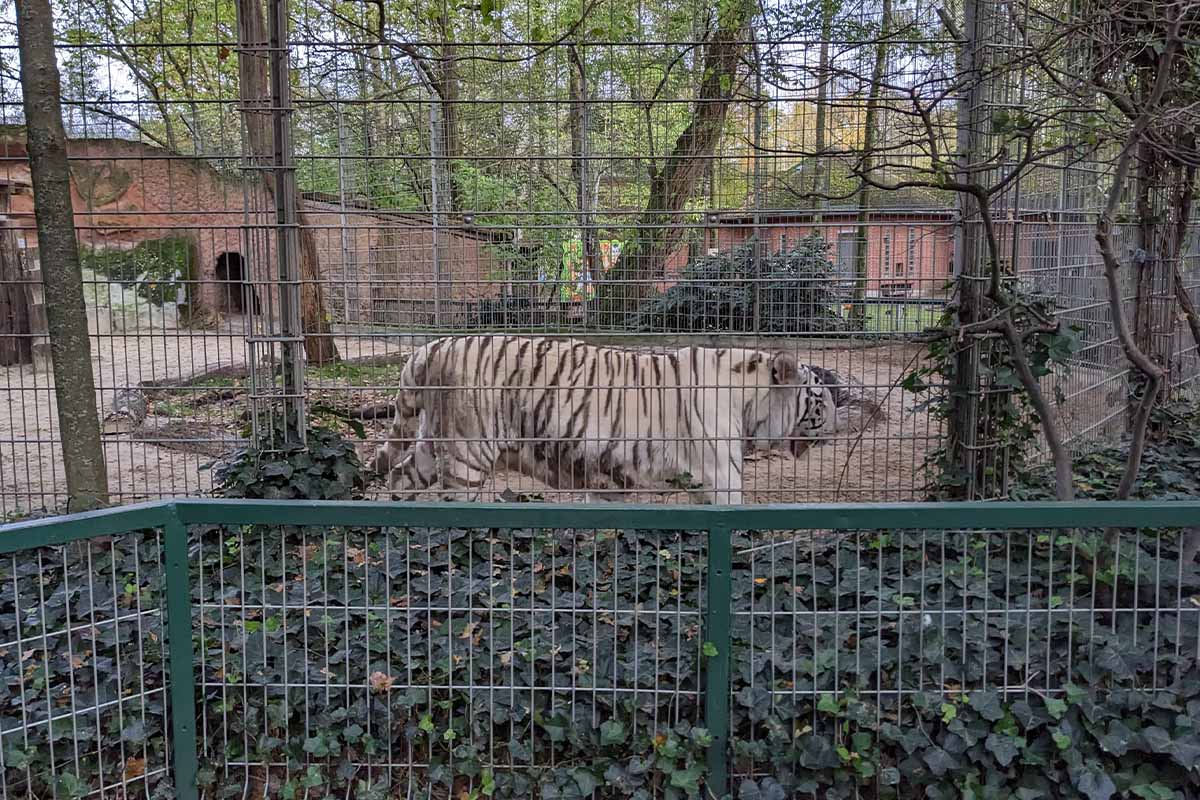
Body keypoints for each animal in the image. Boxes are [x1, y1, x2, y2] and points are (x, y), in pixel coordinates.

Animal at [369, 335, 849, 503]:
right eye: (820, 400)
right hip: (467, 455)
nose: (835, 427)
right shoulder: (721, 477)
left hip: (431, 446)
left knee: (397, 479)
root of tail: (432, 347)